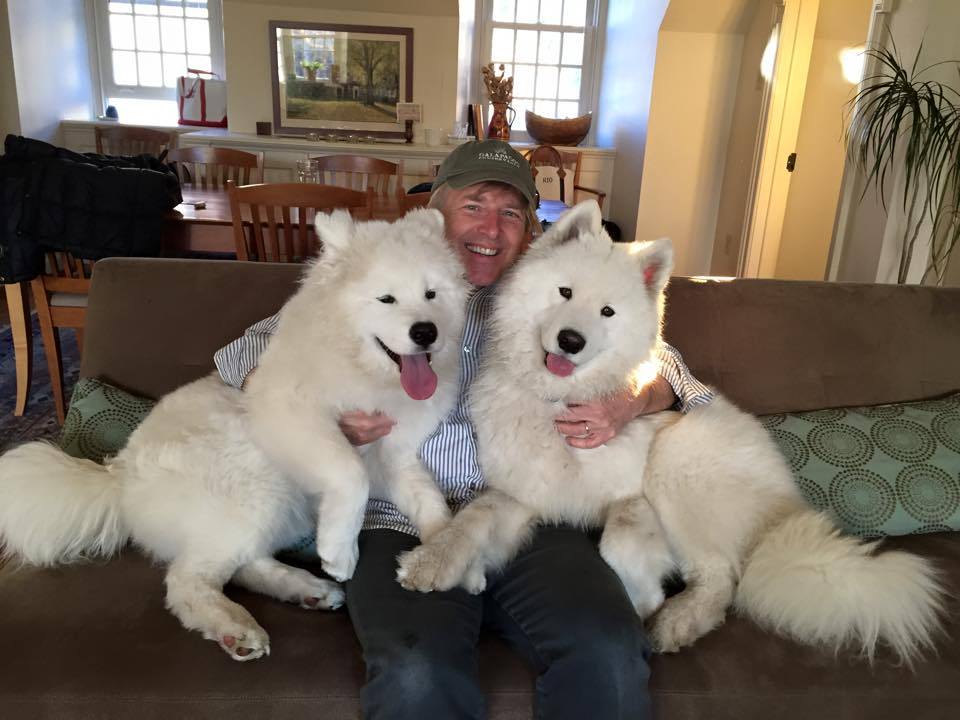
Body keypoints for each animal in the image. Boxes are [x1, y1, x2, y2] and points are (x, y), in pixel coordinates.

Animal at [0, 205, 466, 660]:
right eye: (386, 298)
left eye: (431, 294)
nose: (426, 332)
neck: (367, 374)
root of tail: (120, 474)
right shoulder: (295, 417)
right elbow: (350, 473)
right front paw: (340, 553)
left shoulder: (393, 455)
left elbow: (427, 498)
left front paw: (443, 553)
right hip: (253, 490)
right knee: (188, 580)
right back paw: (237, 628)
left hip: (279, 507)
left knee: (242, 565)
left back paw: (307, 590)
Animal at [398, 200, 944, 668]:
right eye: (565, 292)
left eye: (608, 312)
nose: (570, 341)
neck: (560, 401)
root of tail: (782, 515)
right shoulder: (522, 492)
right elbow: (470, 521)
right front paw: (434, 562)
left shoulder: (633, 499)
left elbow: (618, 545)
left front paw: (644, 601)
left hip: (676, 469)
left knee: (724, 580)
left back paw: (678, 621)